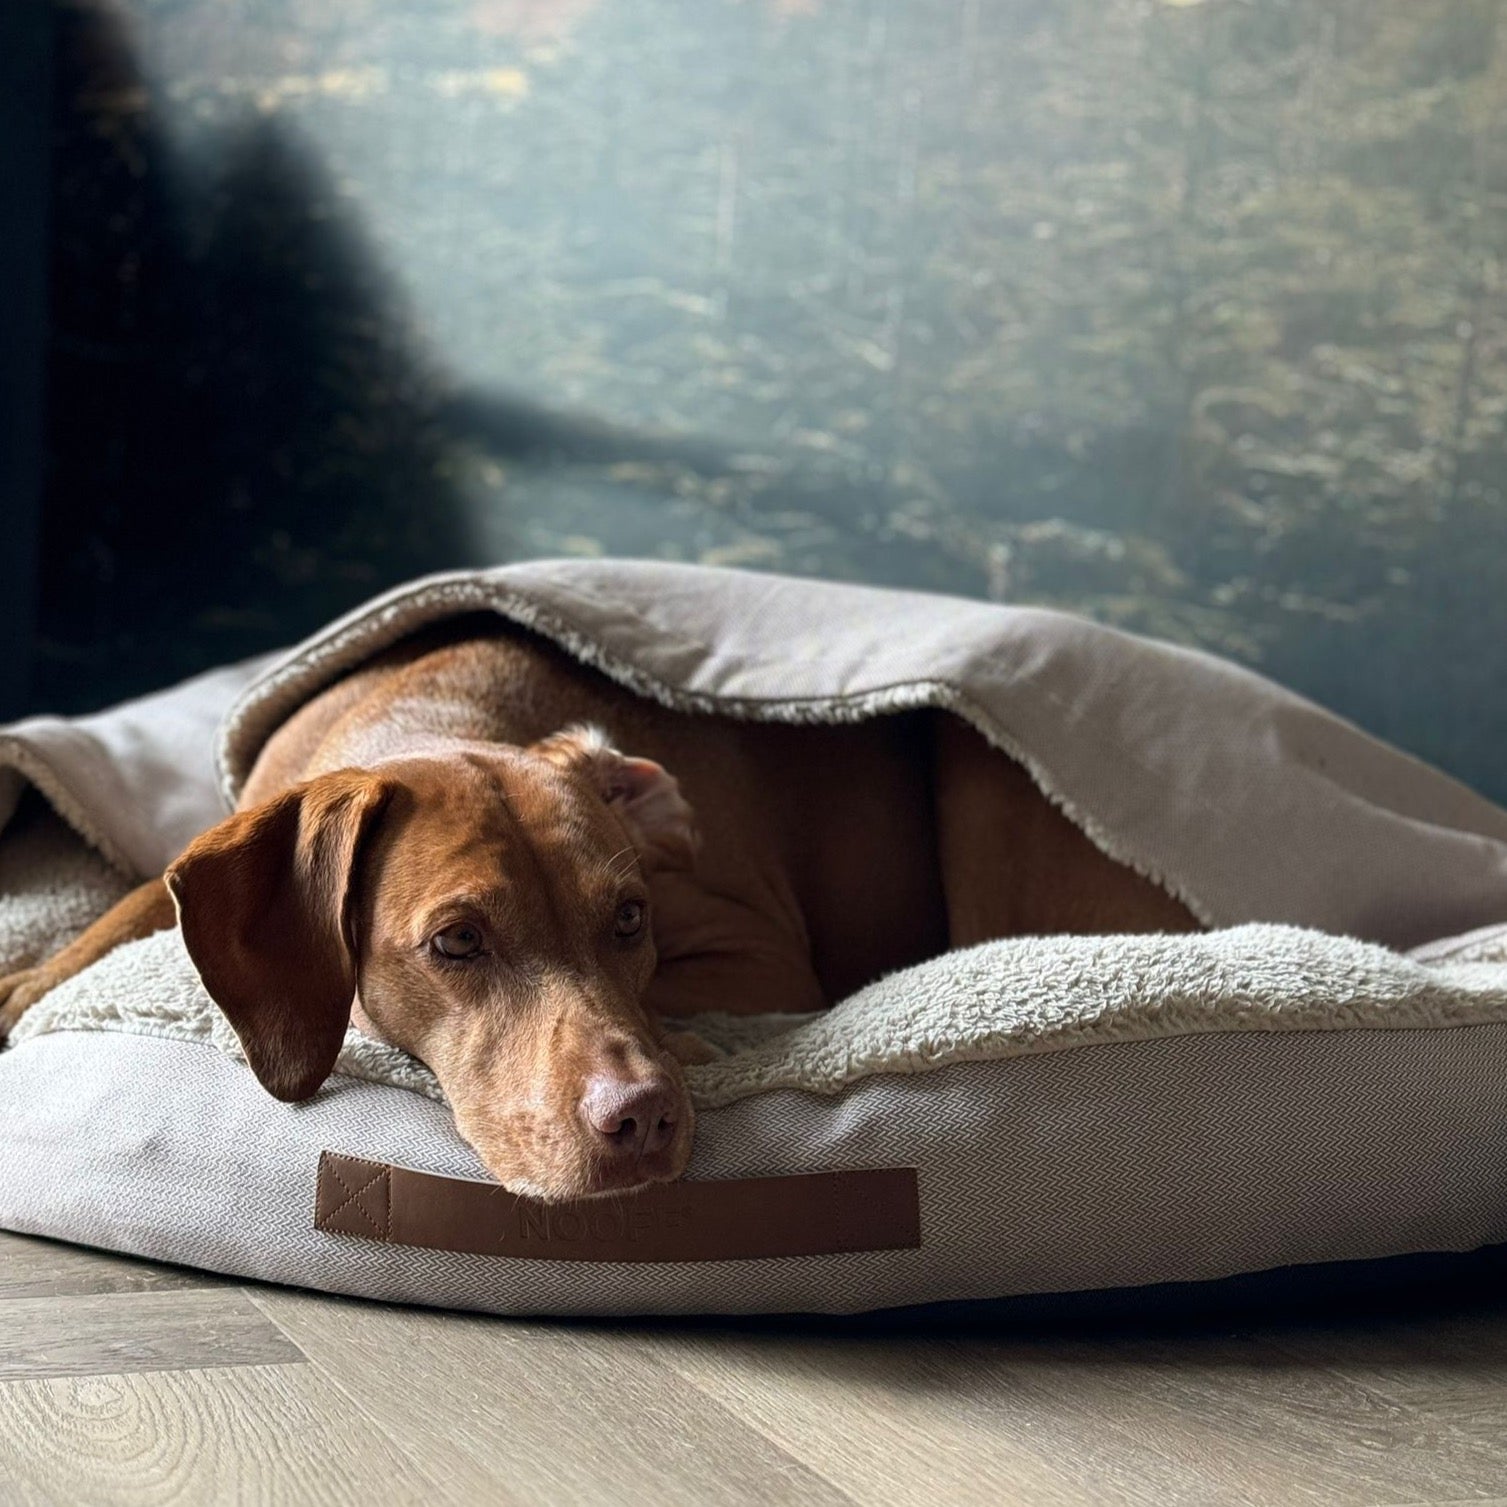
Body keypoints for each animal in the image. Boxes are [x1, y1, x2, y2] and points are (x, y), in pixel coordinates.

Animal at [2, 614, 1199, 1199]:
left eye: (629, 919)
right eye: (456, 940)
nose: (643, 1118)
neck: (436, 714)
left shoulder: (757, 951)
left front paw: (690, 1041)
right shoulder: (206, 848)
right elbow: (126, 909)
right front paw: (25, 981)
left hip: (989, 782)